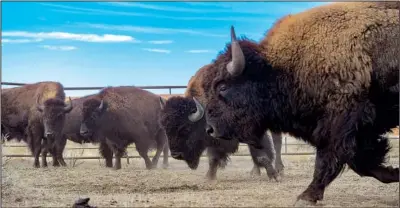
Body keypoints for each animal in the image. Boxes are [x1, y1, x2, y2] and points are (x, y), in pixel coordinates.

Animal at [198, 1, 398, 206]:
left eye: (223, 86)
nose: (210, 129)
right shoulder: (361, 130)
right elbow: (363, 162)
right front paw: (394, 173)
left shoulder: (340, 122)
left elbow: (330, 158)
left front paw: (306, 196)